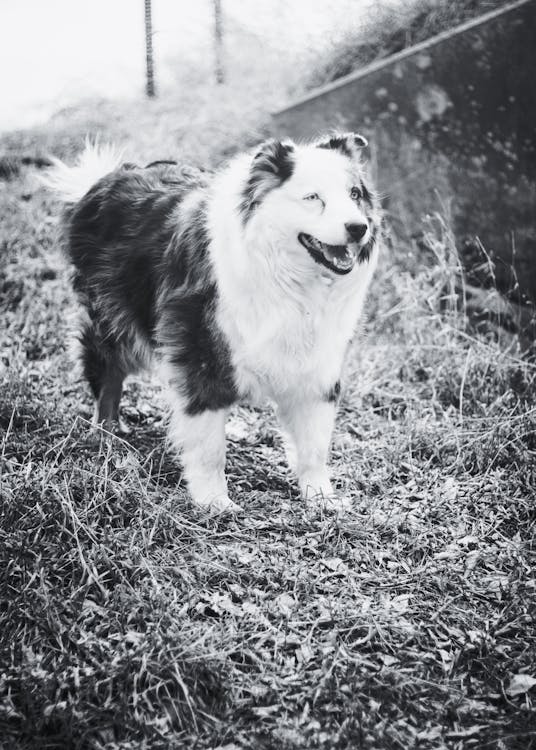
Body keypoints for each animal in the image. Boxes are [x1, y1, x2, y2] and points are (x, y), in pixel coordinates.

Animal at [45, 132, 382, 516]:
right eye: (313, 197)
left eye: (355, 194)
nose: (358, 228)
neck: (288, 278)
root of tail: (108, 177)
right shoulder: (199, 348)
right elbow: (209, 443)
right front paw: (213, 500)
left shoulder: (319, 360)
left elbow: (315, 443)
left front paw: (321, 496)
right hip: (114, 319)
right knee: (108, 378)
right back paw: (106, 436)